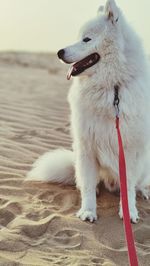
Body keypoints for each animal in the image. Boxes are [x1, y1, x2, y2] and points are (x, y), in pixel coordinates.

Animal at [26, 0, 150, 223]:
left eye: (86, 39)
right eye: (79, 37)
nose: (59, 52)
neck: (111, 88)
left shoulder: (129, 151)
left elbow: (128, 188)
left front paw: (129, 212)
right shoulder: (87, 146)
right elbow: (88, 186)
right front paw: (88, 211)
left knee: (137, 183)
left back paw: (143, 191)